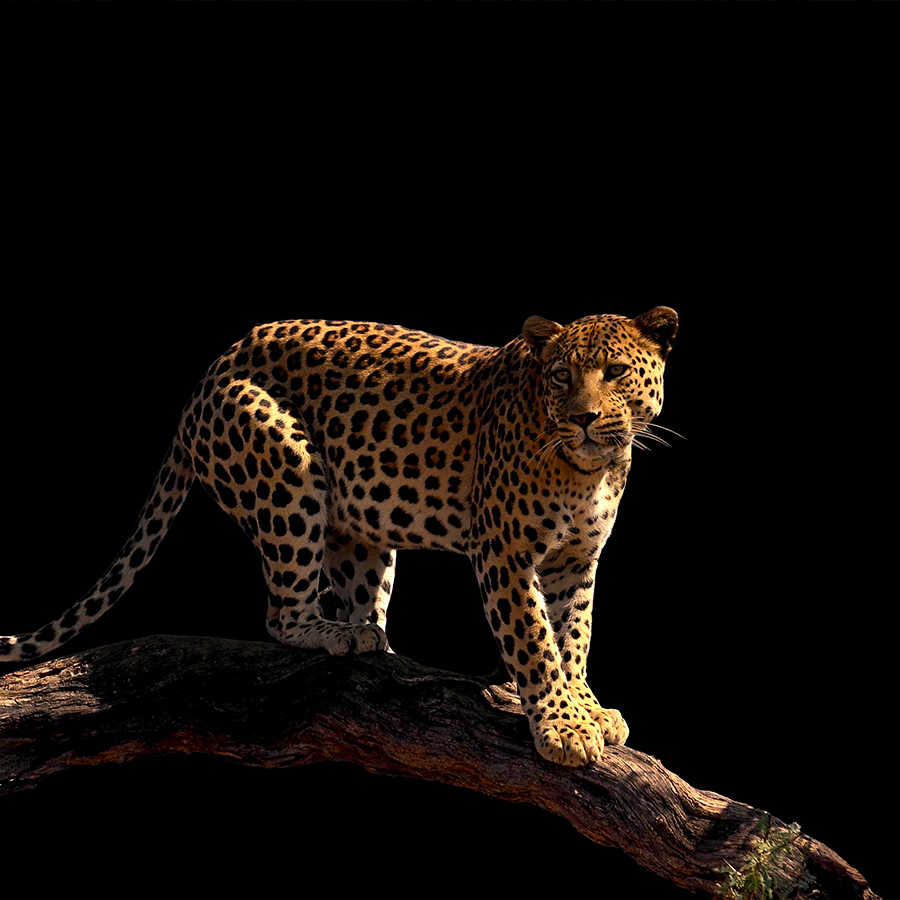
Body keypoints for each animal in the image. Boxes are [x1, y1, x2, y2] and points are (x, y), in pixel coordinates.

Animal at [1, 306, 678, 767]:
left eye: (615, 371)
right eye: (561, 377)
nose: (583, 417)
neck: (591, 469)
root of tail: (221, 359)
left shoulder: (576, 561)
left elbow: (574, 634)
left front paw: (585, 706)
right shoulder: (505, 555)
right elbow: (536, 637)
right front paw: (562, 726)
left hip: (362, 528)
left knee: (356, 590)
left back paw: (375, 641)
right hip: (286, 470)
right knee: (282, 615)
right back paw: (336, 635)